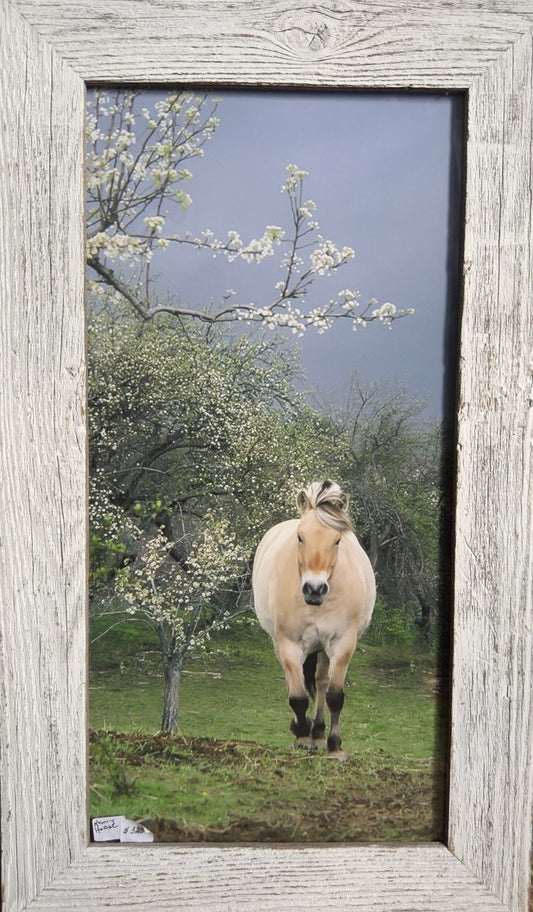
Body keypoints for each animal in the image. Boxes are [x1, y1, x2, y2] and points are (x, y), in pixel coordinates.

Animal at [252, 480, 376, 757]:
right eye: (300, 537)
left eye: (337, 540)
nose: (314, 589)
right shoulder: (288, 644)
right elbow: (297, 697)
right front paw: (300, 734)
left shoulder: (343, 643)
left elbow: (335, 695)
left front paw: (334, 745)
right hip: (281, 643)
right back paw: (307, 730)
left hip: (323, 648)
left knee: (320, 683)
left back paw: (318, 733)